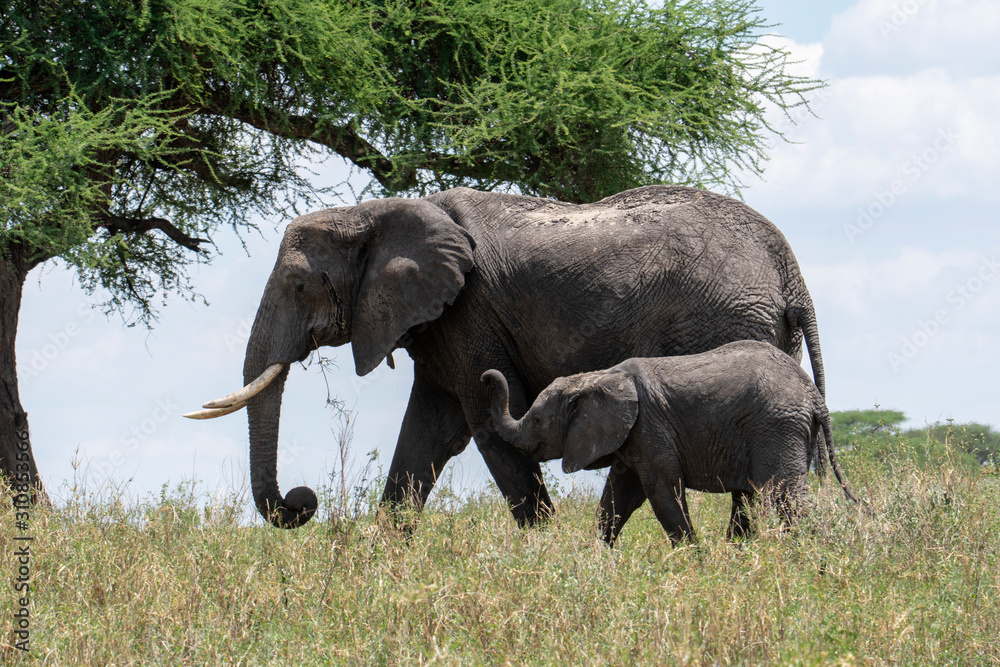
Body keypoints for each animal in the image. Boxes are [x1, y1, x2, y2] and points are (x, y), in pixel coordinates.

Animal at [185, 185, 829, 533]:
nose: (302, 502)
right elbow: (427, 433)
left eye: (299, 286)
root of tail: (789, 270)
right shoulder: (440, 321)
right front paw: (378, 564)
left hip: (728, 320)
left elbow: (484, 424)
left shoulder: (469, 313)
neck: (376, 213)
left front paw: (546, 555)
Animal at [482, 341, 858, 545]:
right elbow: (618, 496)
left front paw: (697, 564)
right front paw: (594, 560)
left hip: (777, 427)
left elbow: (662, 492)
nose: (487, 376)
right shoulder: (632, 435)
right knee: (754, 497)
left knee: (784, 497)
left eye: (537, 420)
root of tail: (813, 395)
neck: (597, 377)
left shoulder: (650, 427)